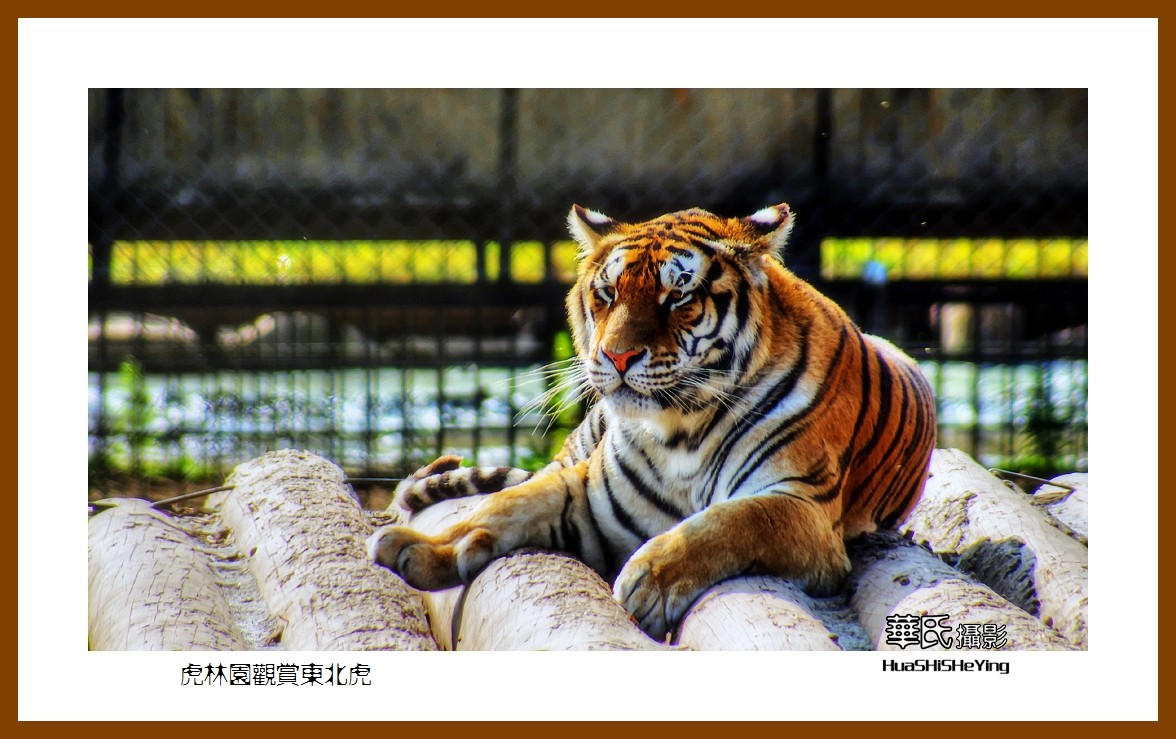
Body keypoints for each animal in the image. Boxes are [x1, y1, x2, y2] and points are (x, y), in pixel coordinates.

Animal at [368, 202, 937, 640]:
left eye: (678, 296)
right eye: (608, 294)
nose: (617, 356)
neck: (681, 430)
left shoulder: (804, 508)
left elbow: (731, 521)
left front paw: (649, 579)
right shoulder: (589, 493)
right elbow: (510, 504)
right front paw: (420, 548)